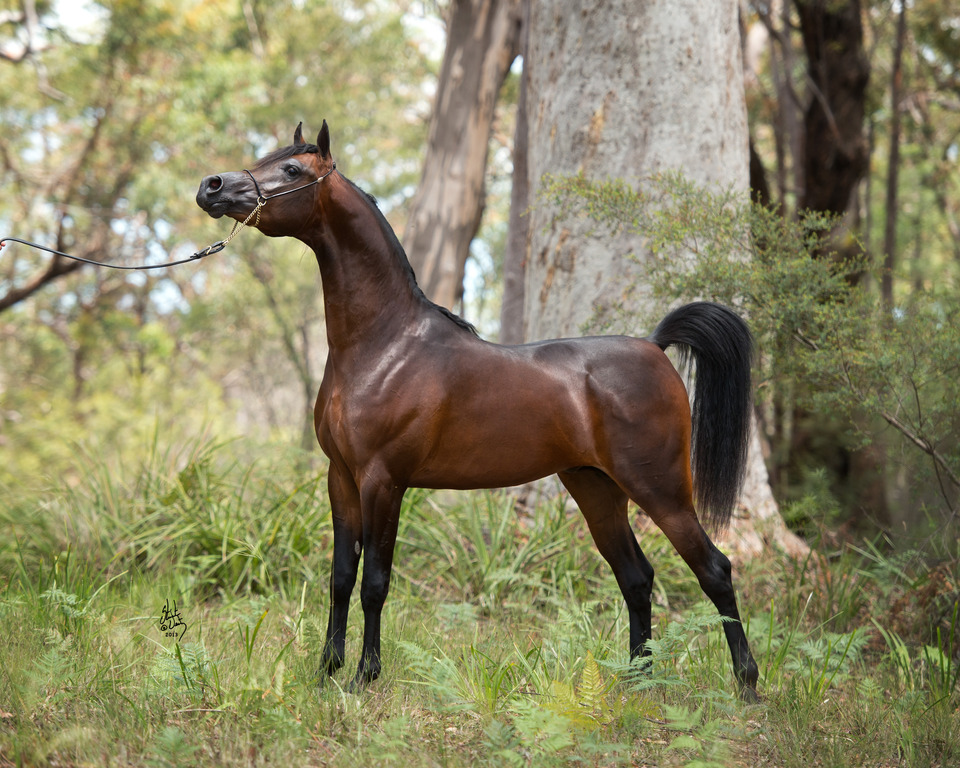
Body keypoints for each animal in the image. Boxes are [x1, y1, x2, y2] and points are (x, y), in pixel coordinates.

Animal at [199, 121, 760, 704]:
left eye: (291, 169)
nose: (211, 186)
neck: (383, 345)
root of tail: (654, 346)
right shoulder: (341, 478)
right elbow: (340, 577)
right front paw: (326, 671)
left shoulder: (383, 480)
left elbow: (375, 581)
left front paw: (363, 675)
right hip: (595, 487)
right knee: (637, 577)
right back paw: (636, 683)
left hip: (661, 488)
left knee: (715, 569)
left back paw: (746, 682)